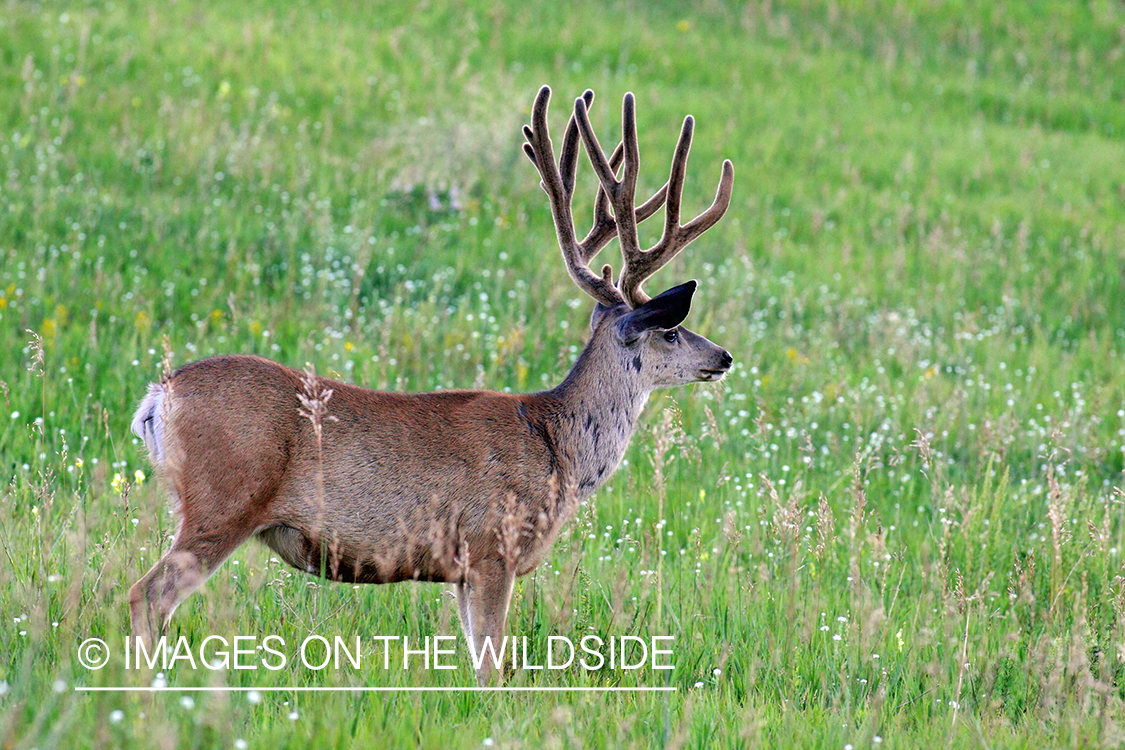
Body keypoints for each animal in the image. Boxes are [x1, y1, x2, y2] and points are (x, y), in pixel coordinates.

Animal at [127, 84, 733, 683]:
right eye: (672, 331)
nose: (724, 356)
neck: (558, 448)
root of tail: (160, 397)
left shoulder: (461, 568)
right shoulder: (492, 545)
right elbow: (490, 664)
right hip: (224, 497)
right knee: (146, 593)